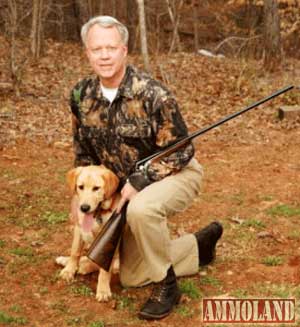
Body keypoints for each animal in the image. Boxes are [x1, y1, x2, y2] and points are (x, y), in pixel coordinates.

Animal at [56, 167, 120, 302]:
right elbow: (75, 252)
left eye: (96, 188)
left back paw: (84, 267)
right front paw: (69, 270)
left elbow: (104, 270)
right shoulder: (79, 229)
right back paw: (66, 260)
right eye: (80, 187)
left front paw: (103, 290)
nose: (84, 208)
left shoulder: (111, 240)